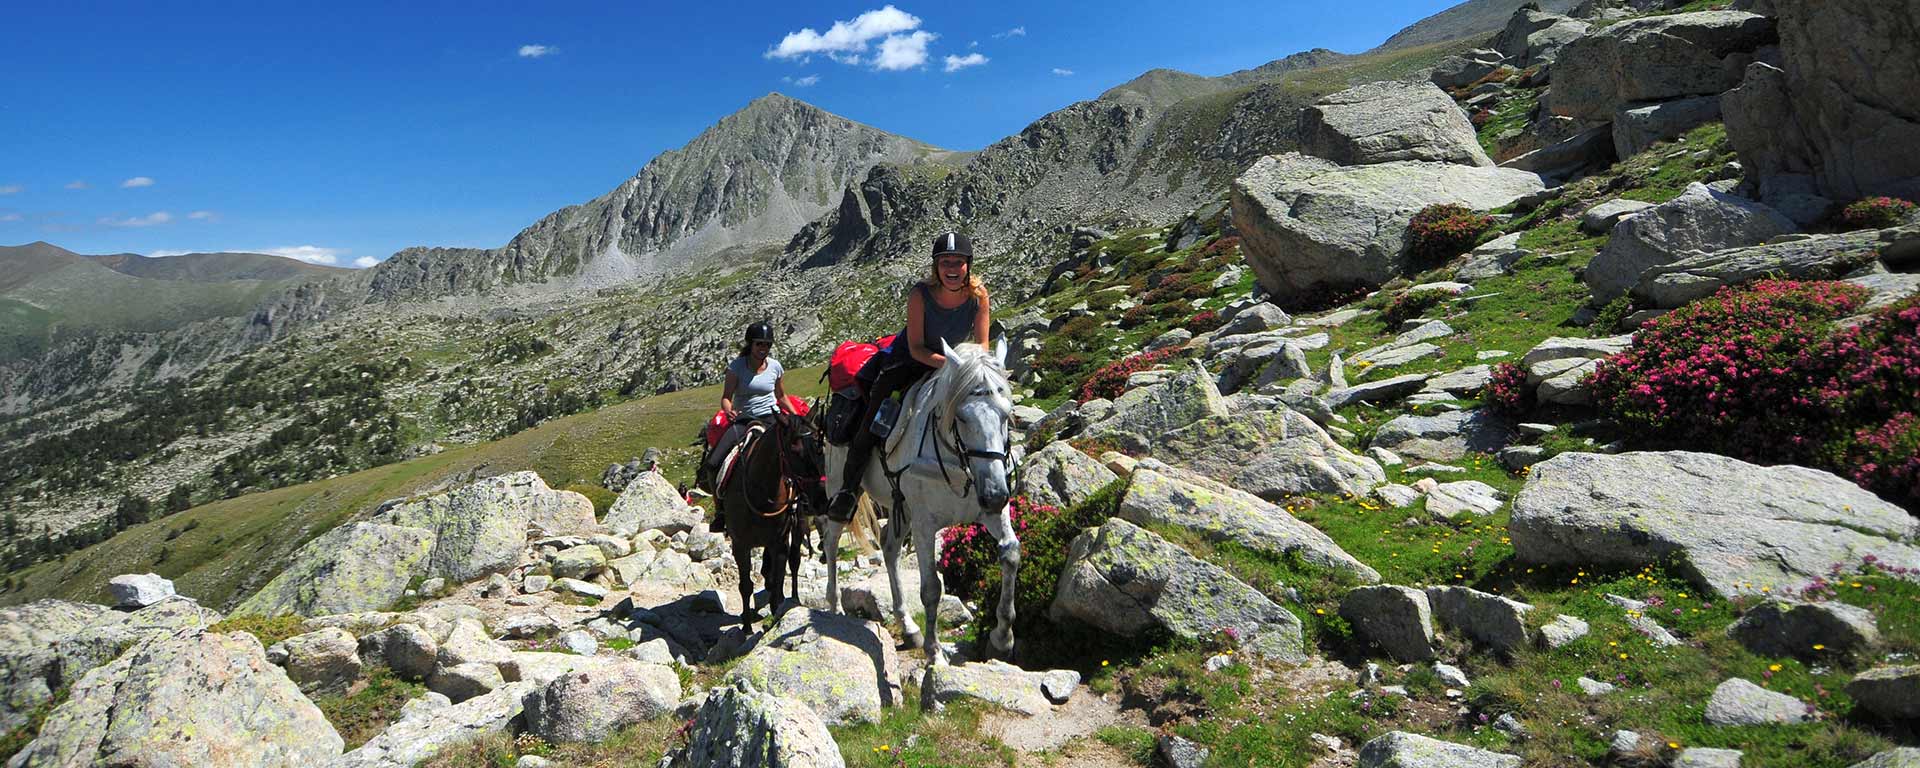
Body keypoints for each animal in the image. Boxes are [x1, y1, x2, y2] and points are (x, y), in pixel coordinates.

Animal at [710, 410, 821, 625]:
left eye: (819, 446)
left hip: (798, 528)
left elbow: (778, 579)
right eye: (794, 449)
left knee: (794, 563)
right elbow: (746, 585)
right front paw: (746, 625)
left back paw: (794, 598)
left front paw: (776, 615)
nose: (821, 495)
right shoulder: (740, 546)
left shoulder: (779, 543)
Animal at [821, 339, 1021, 668]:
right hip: (840, 488)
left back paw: (908, 626)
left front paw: (1002, 638)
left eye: (1006, 414)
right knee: (832, 542)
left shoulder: (990, 510)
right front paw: (934, 652)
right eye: (961, 417)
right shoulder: (925, 524)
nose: (994, 495)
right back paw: (835, 608)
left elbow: (1011, 554)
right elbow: (930, 589)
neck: (957, 461)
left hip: (901, 507)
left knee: (889, 549)